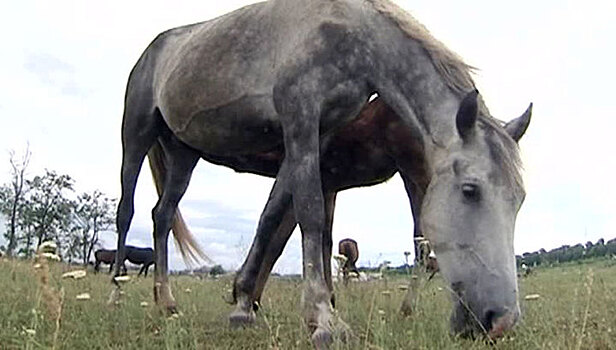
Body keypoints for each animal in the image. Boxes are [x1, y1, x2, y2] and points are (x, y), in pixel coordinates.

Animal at [112, 0, 536, 344]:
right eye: (470, 189)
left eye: (519, 200)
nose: (499, 320)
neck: (349, 33)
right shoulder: (300, 120)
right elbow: (311, 216)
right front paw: (323, 319)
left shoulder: (315, 135)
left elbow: (272, 218)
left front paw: (243, 304)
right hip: (136, 136)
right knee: (127, 212)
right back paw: (117, 293)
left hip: (184, 154)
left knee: (162, 216)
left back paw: (166, 303)